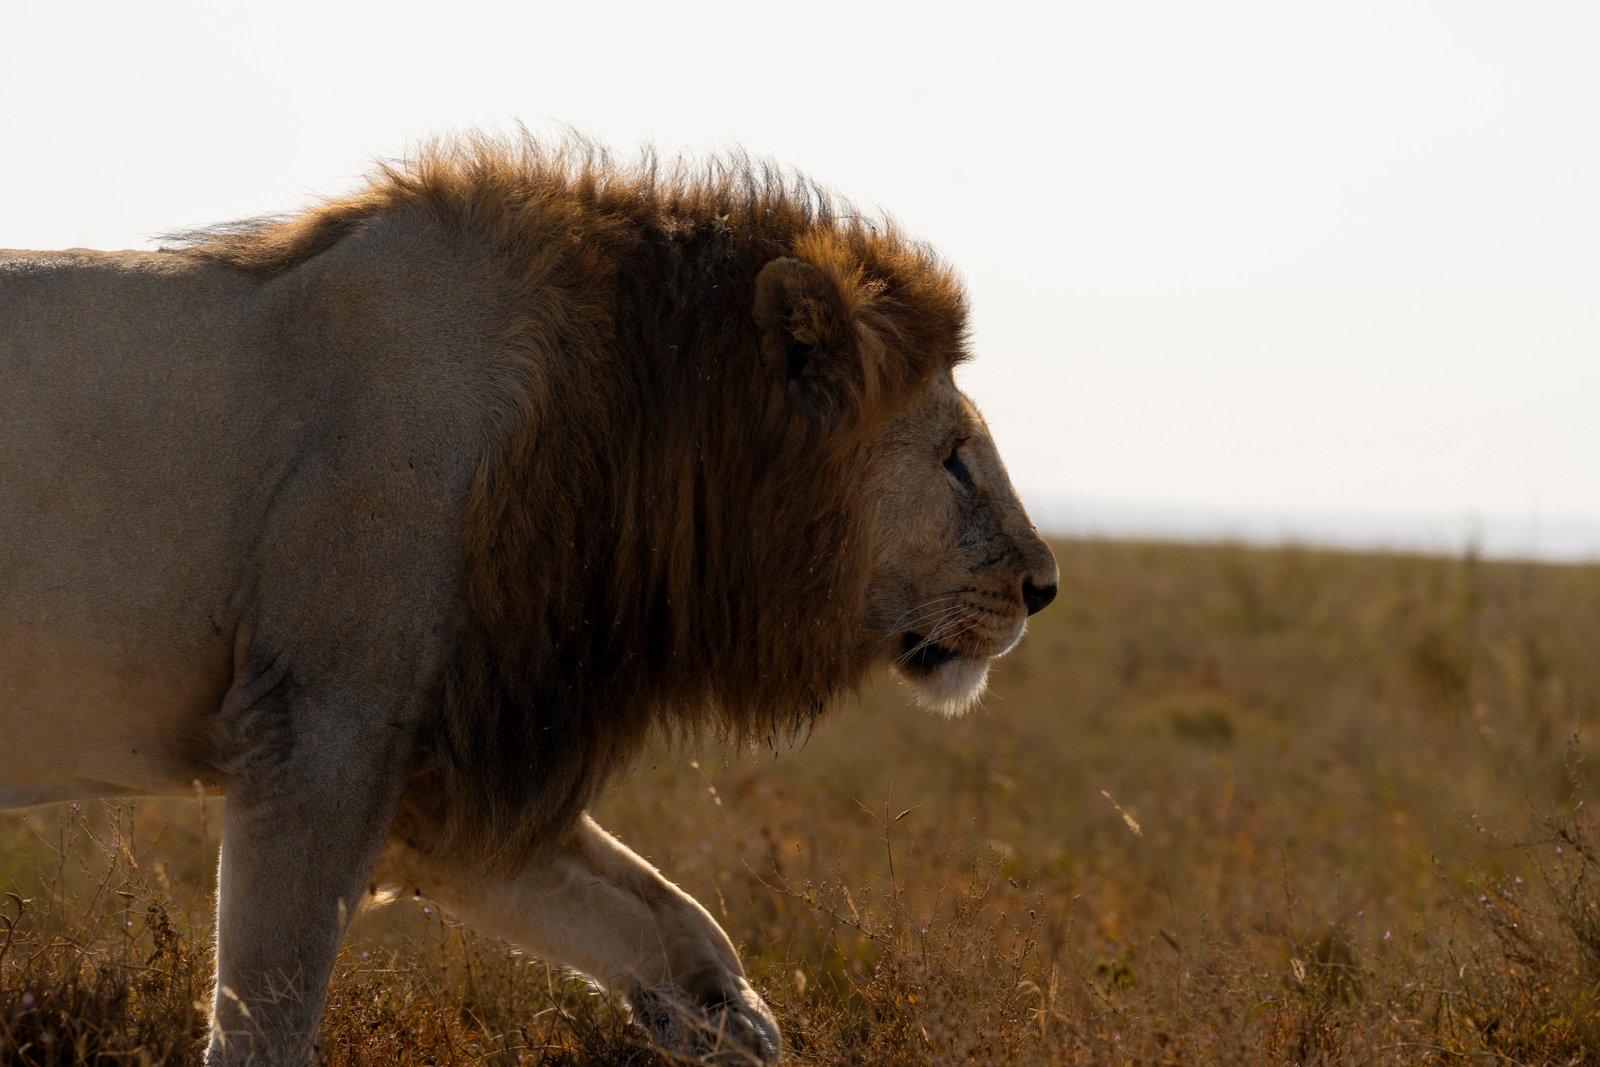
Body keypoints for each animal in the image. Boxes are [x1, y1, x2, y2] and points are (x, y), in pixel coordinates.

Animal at [0, 136, 1057, 1064]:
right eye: (955, 457)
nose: (1044, 587)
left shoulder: (446, 772)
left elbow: (672, 920)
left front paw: (733, 1026)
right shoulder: (317, 731)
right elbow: (270, 1016)